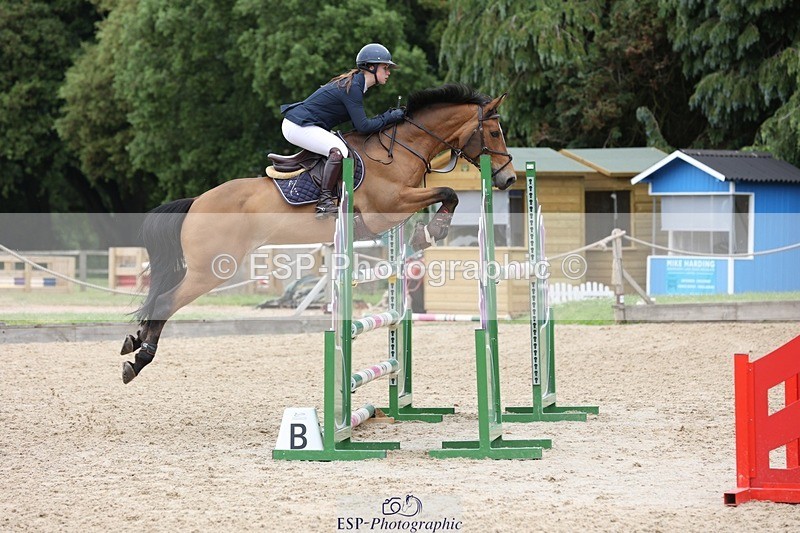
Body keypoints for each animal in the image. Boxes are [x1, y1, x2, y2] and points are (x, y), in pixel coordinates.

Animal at [120, 83, 516, 384]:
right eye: (495, 132)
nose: (509, 178)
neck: (402, 150)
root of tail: (196, 202)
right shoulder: (389, 205)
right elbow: (447, 193)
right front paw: (431, 233)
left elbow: (444, 196)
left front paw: (425, 234)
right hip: (213, 269)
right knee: (166, 302)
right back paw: (138, 360)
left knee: (159, 302)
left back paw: (133, 342)